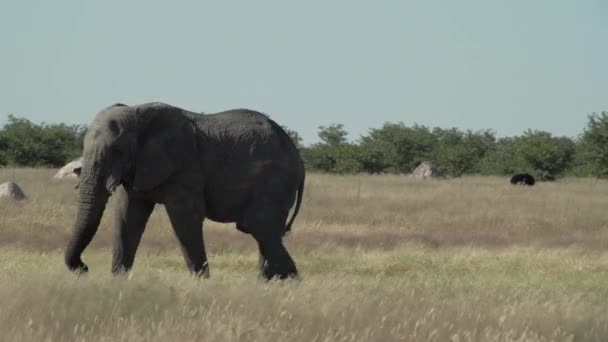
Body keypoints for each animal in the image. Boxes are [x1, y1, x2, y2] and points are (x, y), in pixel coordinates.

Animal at [63, 103, 304, 280]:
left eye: (117, 150)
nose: (84, 267)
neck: (138, 113)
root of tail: (298, 156)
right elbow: (127, 215)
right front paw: (119, 280)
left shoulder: (184, 166)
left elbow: (184, 217)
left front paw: (201, 281)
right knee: (264, 231)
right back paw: (270, 281)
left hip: (274, 181)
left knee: (260, 227)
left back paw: (288, 280)